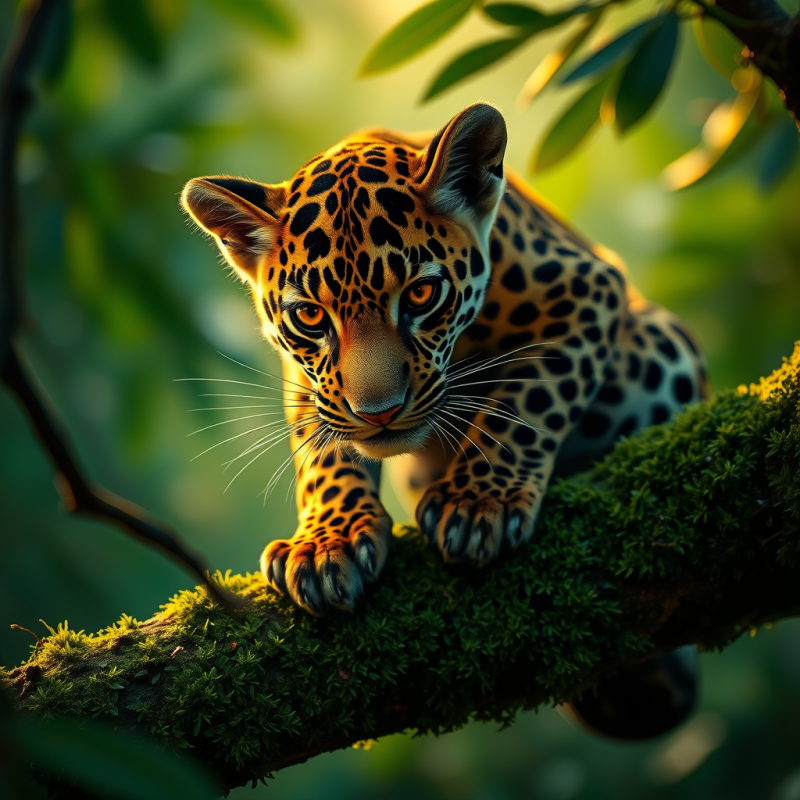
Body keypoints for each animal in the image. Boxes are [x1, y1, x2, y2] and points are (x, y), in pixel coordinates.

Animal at [181, 103, 707, 622]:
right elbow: (322, 449)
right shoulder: (312, 382)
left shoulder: (588, 287)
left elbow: (528, 397)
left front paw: (478, 501)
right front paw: (327, 541)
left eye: (421, 294)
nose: (379, 414)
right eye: (310, 315)